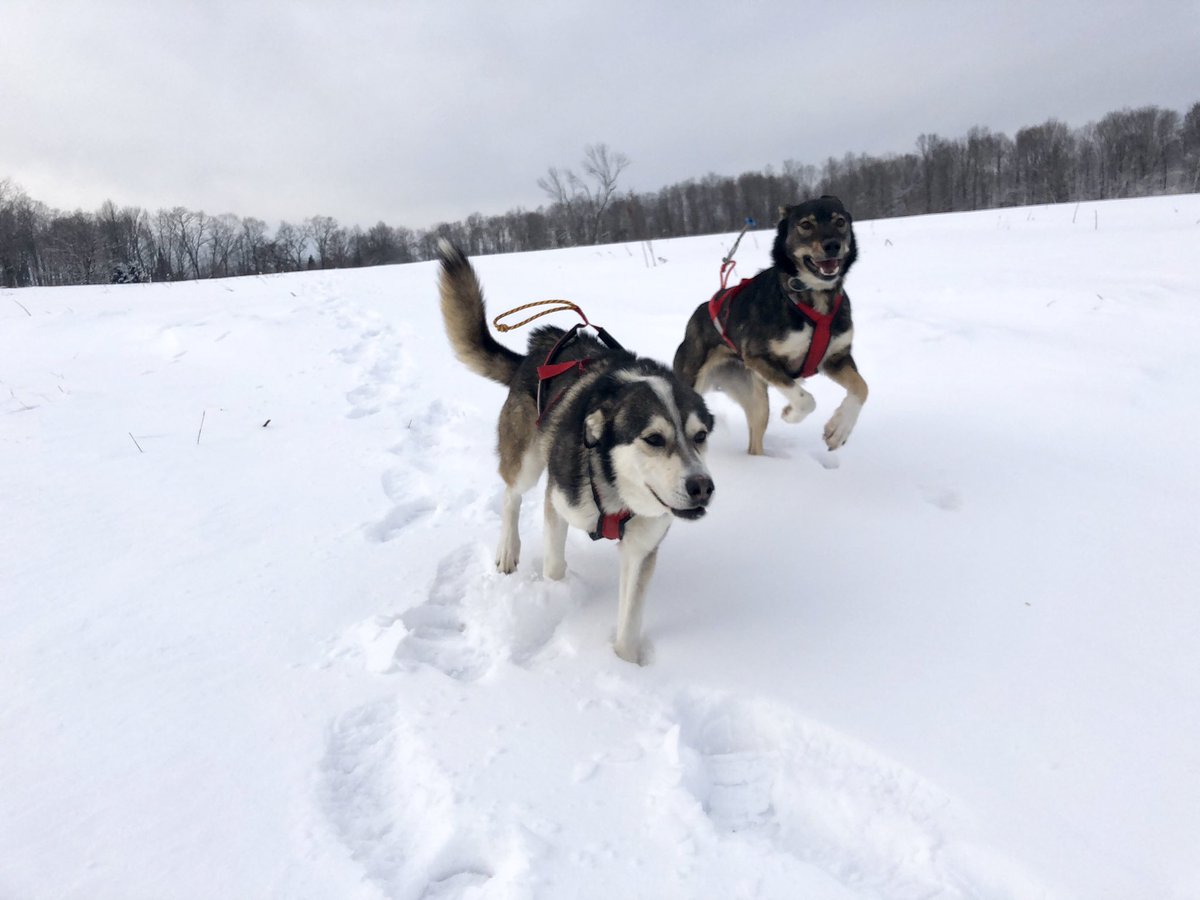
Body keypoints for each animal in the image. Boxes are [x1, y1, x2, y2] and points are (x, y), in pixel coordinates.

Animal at [672, 194, 868, 453]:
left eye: (840, 221)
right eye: (806, 225)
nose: (832, 245)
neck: (811, 297)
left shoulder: (835, 358)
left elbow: (861, 388)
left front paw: (839, 429)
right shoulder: (759, 358)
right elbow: (807, 400)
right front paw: (790, 414)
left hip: (757, 403)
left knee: (755, 445)